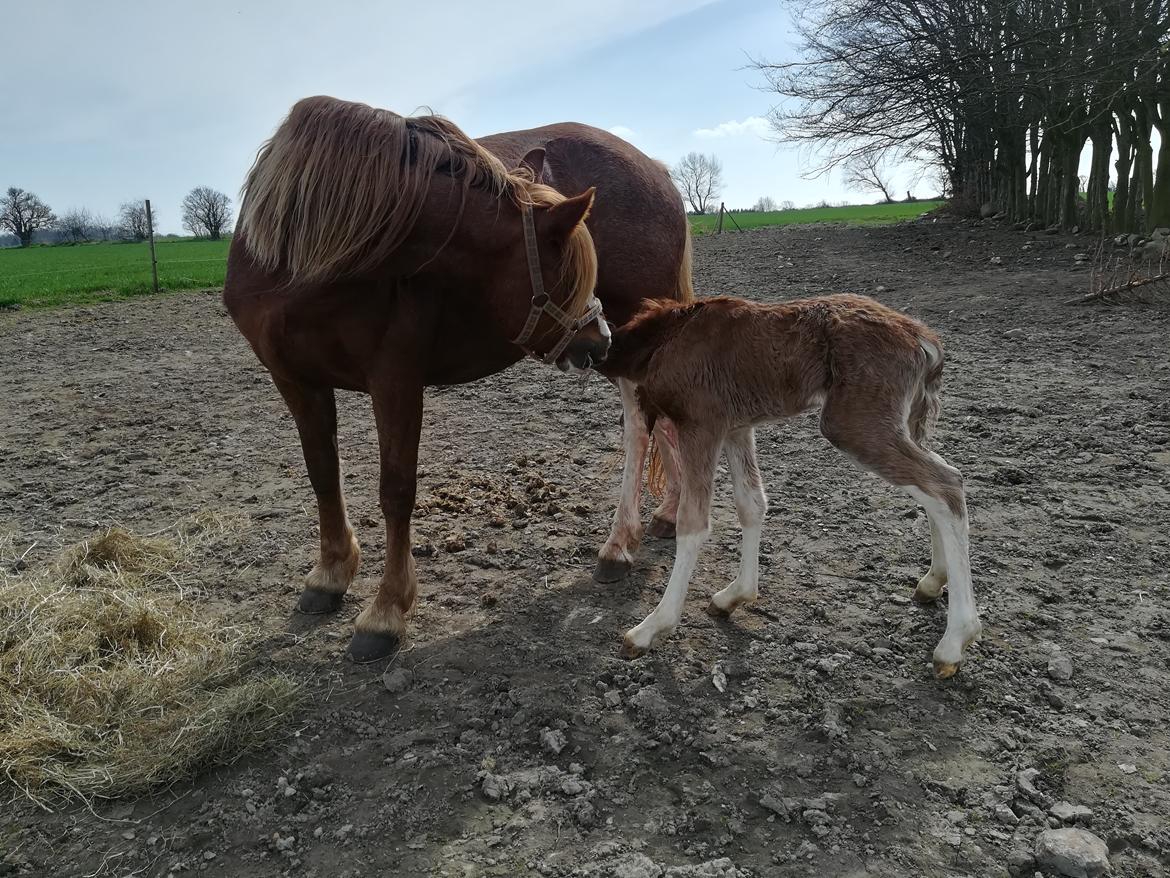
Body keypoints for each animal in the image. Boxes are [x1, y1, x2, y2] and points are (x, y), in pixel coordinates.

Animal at [599, 292, 982, 678]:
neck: (664, 336)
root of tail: (925, 340)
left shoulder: (701, 423)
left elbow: (693, 523)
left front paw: (650, 628)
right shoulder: (736, 426)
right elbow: (752, 503)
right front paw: (736, 595)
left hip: (856, 423)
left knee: (946, 484)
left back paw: (955, 640)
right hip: (903, 422)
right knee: (938, 481)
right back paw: (933, 582)